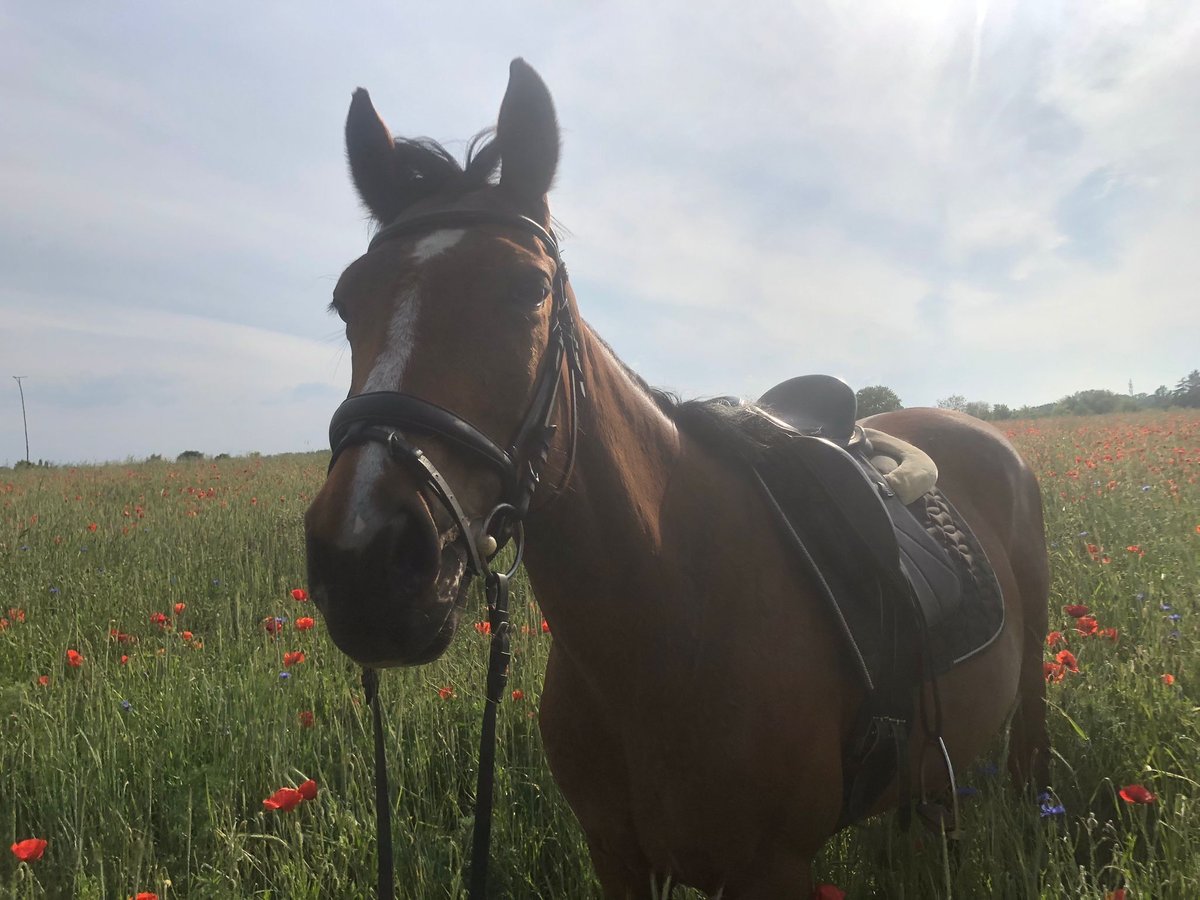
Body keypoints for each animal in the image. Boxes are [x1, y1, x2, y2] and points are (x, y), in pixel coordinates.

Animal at [304, 60, 1046, 897]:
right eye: (346, 303)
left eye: (529, 289)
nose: (362, 561)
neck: (668, 615)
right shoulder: (617, 858)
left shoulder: (772, 870)